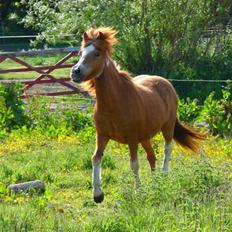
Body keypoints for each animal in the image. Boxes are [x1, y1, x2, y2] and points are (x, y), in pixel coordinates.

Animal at [70, 27, 204, 202]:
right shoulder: (102, 135)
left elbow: (134, 164)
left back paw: (163, 175)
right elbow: (96, 158)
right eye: (81, 53)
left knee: (167, 148)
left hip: (167, 127)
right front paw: (98, 194)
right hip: (145, 137)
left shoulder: (132, 139)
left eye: (97, 53)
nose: (75, 72)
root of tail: (166, 83)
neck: (114, 103)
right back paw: (156, 182)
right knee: (152, 156)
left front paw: (138, 190)